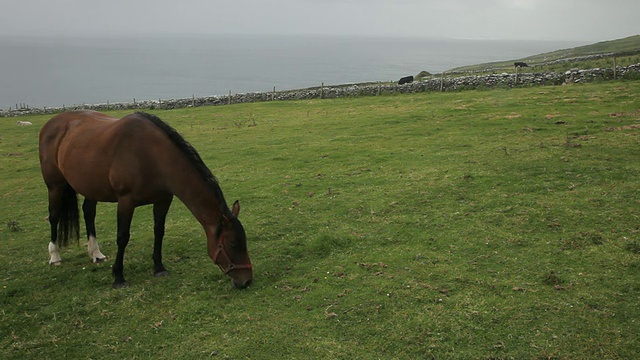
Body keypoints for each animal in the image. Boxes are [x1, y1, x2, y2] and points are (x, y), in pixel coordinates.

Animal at [37, 109, 252, 290]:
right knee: (54, 216)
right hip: (55, 186)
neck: (151, 156)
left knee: (89, 212)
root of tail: (52, 122)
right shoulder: (126, 202)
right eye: (234, 244)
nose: (247, 281)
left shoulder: (163, 200)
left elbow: (159, 231)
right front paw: (118, 277)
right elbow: (122, 237)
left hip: (91, 187)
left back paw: (96, 254)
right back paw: (55, 256)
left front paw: (159, 267)